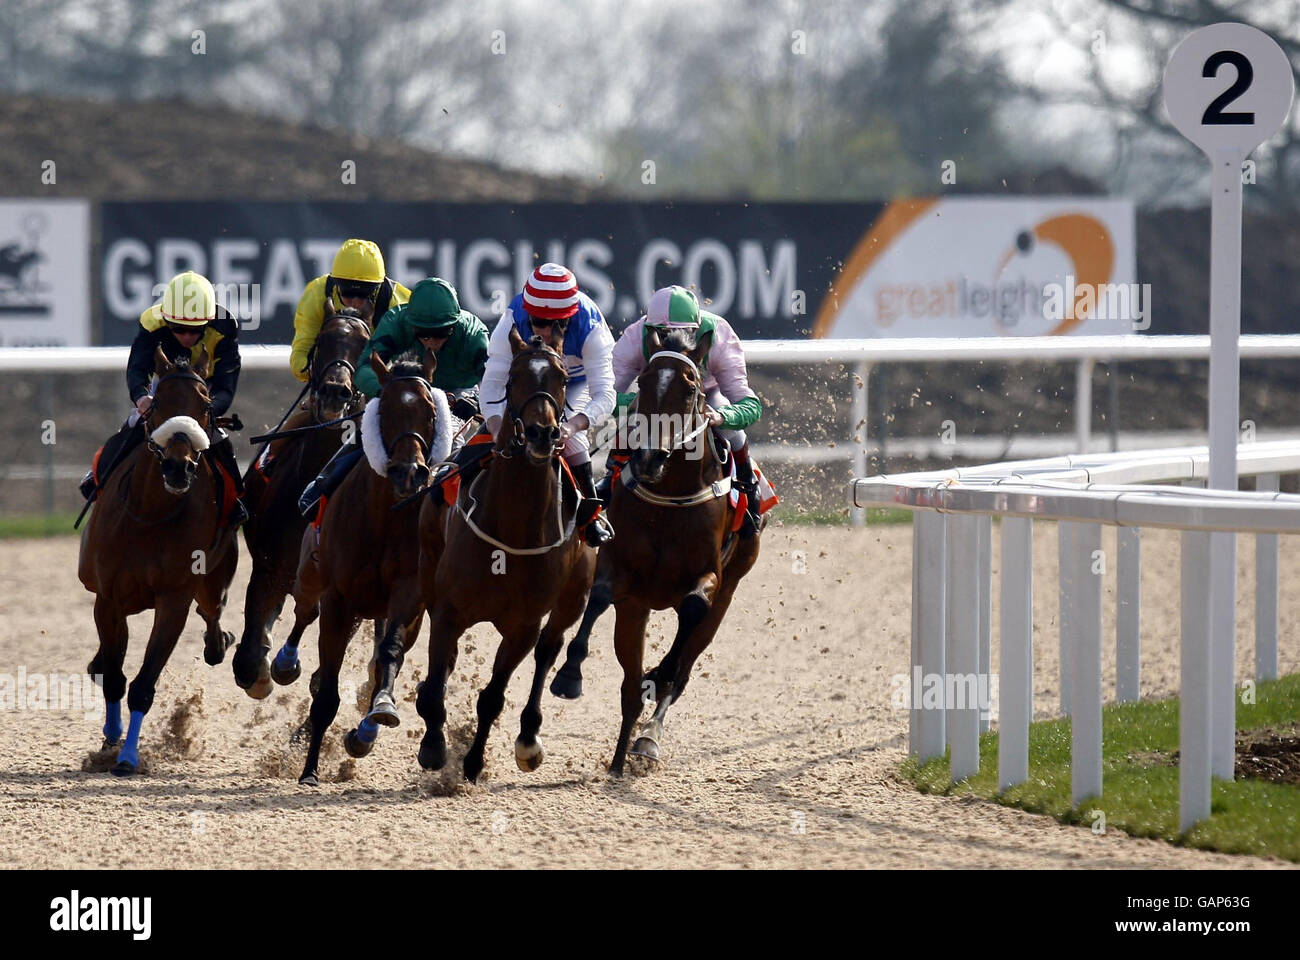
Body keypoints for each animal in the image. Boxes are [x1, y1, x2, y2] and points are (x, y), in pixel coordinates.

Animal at [77, 348, 239, 775]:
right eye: (158, 403)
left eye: (204, 404)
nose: (178, 466)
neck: (150, 512)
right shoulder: (109, 599)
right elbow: (115, 678)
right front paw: (112, 740)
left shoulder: (174, 600)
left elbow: (143, 685)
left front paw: (127, 758)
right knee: (107, 665)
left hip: (213, 579)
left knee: (212, 612)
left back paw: (219, 642)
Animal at [228, 303, 369, 697]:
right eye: (322, 340)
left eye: (365, 344)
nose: (335, 392)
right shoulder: (269, 567)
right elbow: (249, 659)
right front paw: (263, 669)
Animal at [295, 348, 452, 780]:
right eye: (386, 411)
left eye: (430, 412)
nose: (408, 472)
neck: (383, 518)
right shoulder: (338, 597)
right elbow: (326, 689)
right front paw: (309, 770)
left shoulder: (409, 593)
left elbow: (389, 653)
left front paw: (380, 710)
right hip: (309, 571)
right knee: (302, 611)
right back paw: (279, 663)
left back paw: (367, 727)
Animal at [416, 329, 595, 780]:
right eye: (514, 377)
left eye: (562, 378)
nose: (541, 434)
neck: (512, 526)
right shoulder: (448, 609)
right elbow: (436, 682)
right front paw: (433, 746)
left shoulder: (522, 626)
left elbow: (493, 697)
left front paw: (473, 762)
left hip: (573, 596)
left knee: (550, 648)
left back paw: (529, 737)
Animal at [548, 327, 759, 770]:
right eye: (644, 381)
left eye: (691, 386)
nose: (649, 459)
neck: (671, 496)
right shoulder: (622, 573)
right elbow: (599, 596)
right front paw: (569, 674)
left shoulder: (711, 577)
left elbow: (692, 612)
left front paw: (660, 675)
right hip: (637, 609)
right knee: (629, 688)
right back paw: (617, 761)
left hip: (728, 593)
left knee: (681, 669)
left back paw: (647, 737)